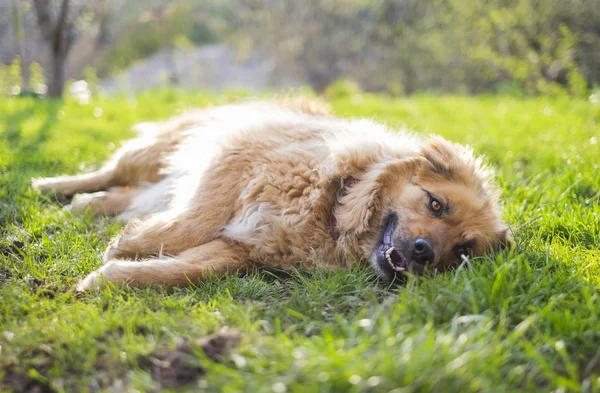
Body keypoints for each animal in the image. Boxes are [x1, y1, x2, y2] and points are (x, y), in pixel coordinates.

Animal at [31, 98, 510, 290]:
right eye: (435, 204)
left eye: (462, 253)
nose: (426, 251)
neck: (332, 208)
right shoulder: (235, 157)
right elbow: (195, 221)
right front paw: (129, 245)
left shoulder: (240, 250)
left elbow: (182, 270)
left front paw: (110, 276)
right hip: (154, 153)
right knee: (108, 171)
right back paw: (51, 186)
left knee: (116, 196)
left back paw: (83, 208)